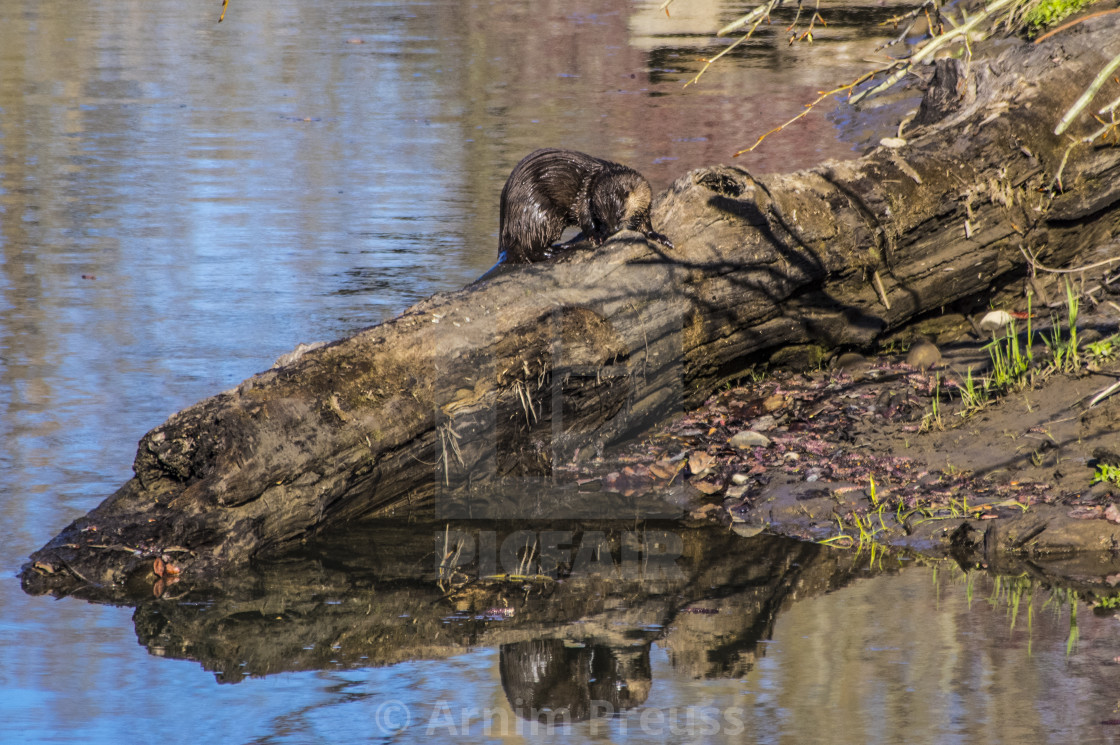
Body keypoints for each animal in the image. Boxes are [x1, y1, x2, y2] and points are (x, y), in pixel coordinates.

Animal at [499, 146, 672, 263]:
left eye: (621, 212)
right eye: (602, 216)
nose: (612, 230)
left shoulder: (645, 204)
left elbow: (646, 226)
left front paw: (661, 237)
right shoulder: (584, 195)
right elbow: (585, 218)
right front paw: (597, 236)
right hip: (539, 214)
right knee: (532, 248)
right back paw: (558, 250)